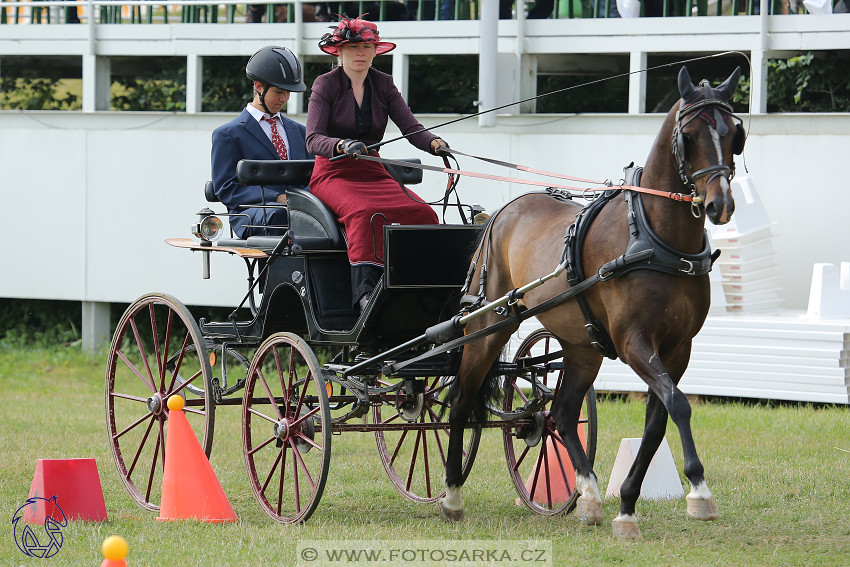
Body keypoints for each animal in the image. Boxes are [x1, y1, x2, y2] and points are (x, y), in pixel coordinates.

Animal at [438, 64, 744, 540]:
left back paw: (590, 495)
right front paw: (698, 489)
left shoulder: (678, 348)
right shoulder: (635, 341)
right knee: (461, 402)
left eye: (734, 133)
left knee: (561, 415)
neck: (654, 238)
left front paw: (627, 506)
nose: (720, 204)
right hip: (488, 328)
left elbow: (658, 420)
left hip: (582, 346)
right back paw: (452, 496)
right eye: (690, 136)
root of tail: (501, 214)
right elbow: (678, 404)